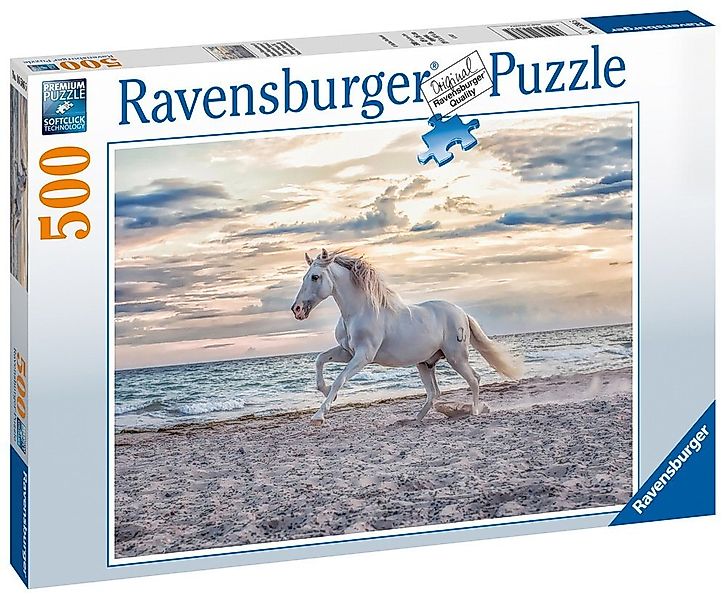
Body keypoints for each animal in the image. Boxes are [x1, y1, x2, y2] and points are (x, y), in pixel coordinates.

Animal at [291, 249, 522, 425]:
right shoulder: (347, 352)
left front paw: (319, 416)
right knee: (434, 392)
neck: (359, 311)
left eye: (315, 277)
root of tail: (462, 313)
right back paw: (415, 419)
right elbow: (320, 359)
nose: (297, 310)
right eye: (303, 277)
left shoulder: (364, 356)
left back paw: (474, 411)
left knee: (474, 379)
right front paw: (325, 391)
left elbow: (340, 379)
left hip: (456, 357)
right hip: (425, 363)